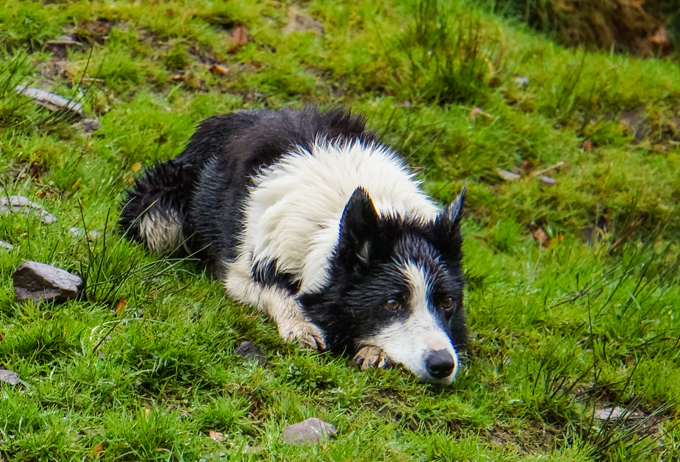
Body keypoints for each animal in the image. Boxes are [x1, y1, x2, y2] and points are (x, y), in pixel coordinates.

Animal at [118, 107, 468, 382]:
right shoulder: (240, 271)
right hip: (159, 213)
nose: (443, 365)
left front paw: (374, 349)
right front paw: (301, 326)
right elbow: (276, 291)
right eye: (392, 302)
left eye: (447, 302)